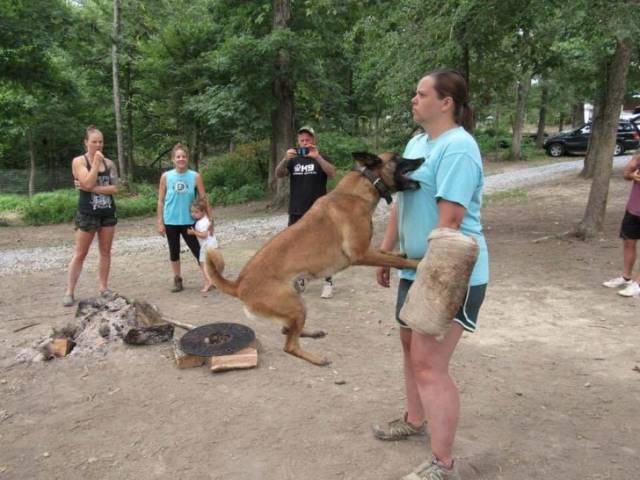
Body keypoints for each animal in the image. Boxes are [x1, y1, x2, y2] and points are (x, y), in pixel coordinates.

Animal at [206, 152, 424, 366]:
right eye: (397, 158)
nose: (422, 159)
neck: (360, 189)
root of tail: (239, 285)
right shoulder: (361, 253)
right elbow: (398, 262)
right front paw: (417, 263)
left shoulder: (368, 250)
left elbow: (388, 254)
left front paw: (400, 253)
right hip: (295, 306)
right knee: (289, 345)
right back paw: (317, 359)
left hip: (295, 303)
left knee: (287, 330)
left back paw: (312, 333)